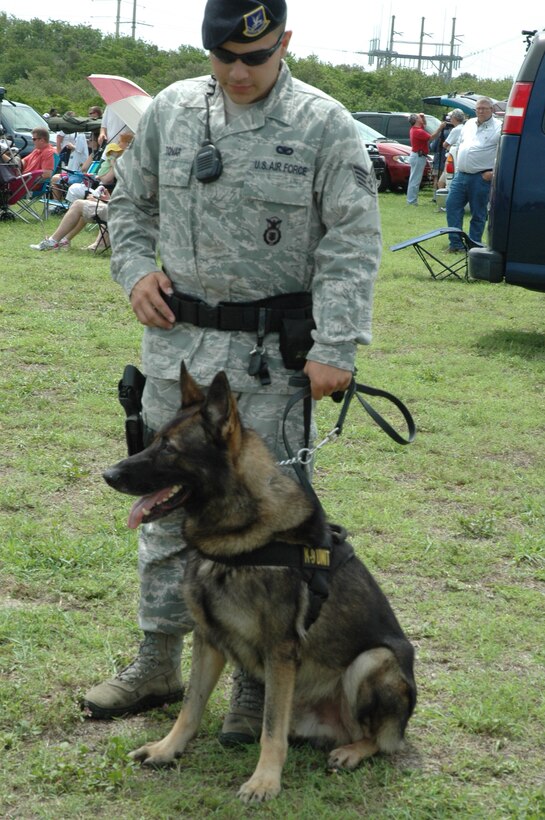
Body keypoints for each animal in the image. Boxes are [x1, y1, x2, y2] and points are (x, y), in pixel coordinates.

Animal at [103, 364, 416, 800]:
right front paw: (168, 748)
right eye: (153, 441)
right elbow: (190, 706)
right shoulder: (207, 639)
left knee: (381, 739)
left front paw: (265, 780)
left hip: (375, 660)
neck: (239, 534)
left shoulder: (280, 651)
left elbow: (270, 729)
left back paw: (352, 750)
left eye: (169, 449)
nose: (108, 474)